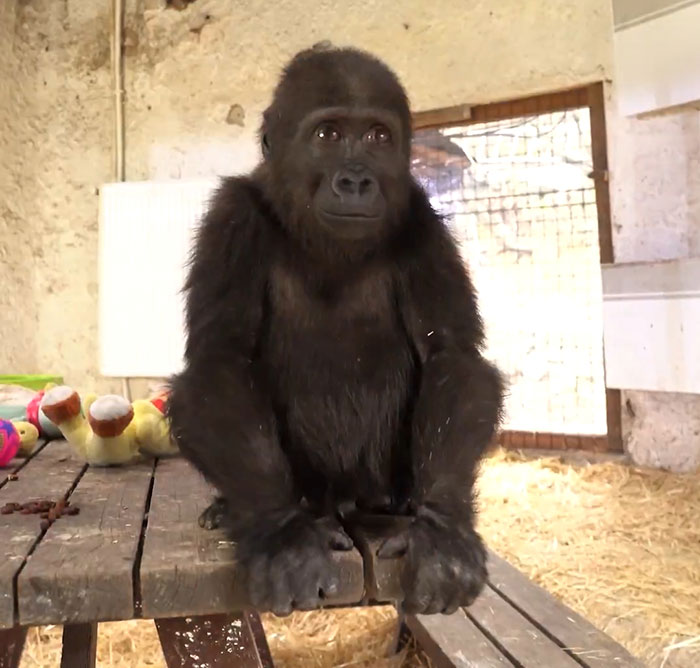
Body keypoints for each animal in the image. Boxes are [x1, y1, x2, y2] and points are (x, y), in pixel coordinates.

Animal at [167, 45, 504, 616]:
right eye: (327, 134)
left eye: (377, 137)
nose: (356, 180)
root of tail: (342, 498)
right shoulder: (231, 218)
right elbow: (221, 361)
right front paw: (281, 534)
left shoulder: (421, 220)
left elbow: (451, 356)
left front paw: (442, 530)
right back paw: (244, 507)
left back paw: (400, 502)